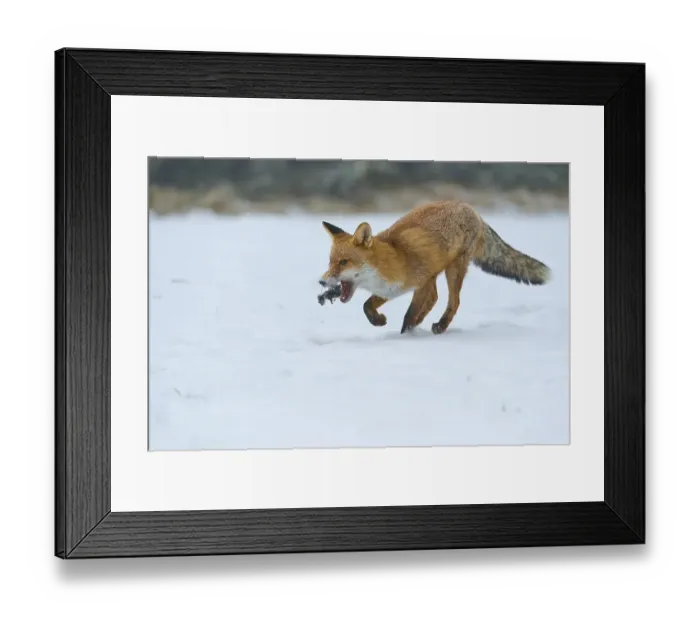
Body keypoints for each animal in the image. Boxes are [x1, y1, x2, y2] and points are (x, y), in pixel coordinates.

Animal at [318, 200, 551, 335]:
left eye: (343, 262)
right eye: (330, 261)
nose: (321, 281)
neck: (394, 258)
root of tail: (473, 210)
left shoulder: (421, 282)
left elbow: (409, 315)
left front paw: (405, 336)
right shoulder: (392, 289)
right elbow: (367, 306)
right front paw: (378, 321)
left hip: (453, 270)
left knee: (453, 301)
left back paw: (441, 325)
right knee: (437, 298)